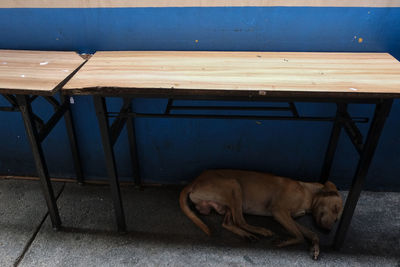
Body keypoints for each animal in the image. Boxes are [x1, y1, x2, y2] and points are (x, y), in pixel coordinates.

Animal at [180, 170, 342, 260]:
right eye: (335, 208)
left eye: (337, 219)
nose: (328, 230)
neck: (307, 193)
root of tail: (194, 181)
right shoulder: (279, 211)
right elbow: (300, 236)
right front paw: (285, 242)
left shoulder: (289, 217)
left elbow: (312, 233)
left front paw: (315, 249)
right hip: (234, 185)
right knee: (240, 220)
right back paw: (261, 231)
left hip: (228, 204)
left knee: (229, 223)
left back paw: (247, 235)